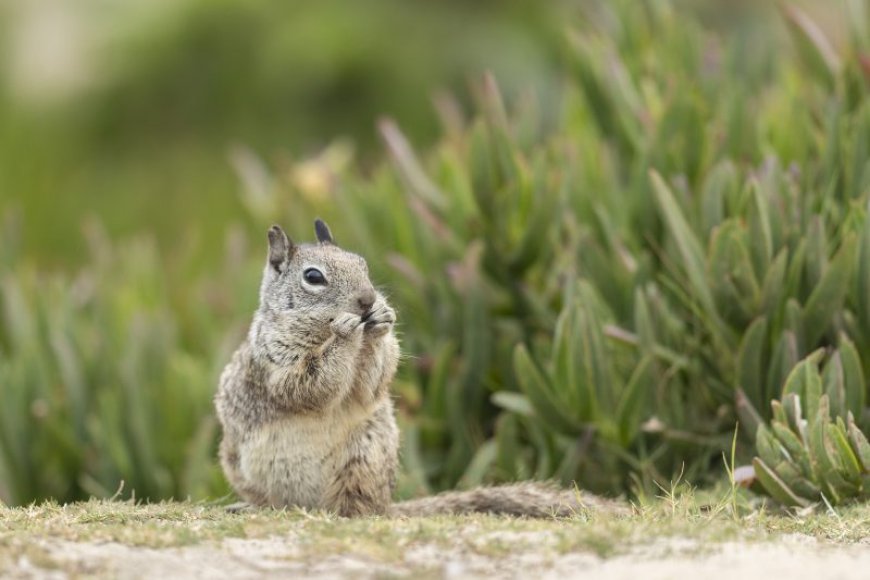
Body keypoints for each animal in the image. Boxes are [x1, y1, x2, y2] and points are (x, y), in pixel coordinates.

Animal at [216, 221, 612, 516]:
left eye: (362, 264)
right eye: (313, 277)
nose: (367, 300)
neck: (319, 331)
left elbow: (370, 384)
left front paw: (381, 322)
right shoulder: (277, 362)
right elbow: (306, 386)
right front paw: (346, 331)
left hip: (366, 458)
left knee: (358, 509)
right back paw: (253, 507)